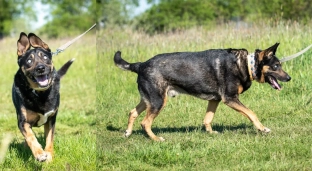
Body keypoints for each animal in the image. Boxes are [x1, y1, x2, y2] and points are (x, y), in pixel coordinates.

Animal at [12, 32, 75, 162]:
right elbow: (31, 137)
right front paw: (39, 154)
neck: (40, 93)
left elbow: (49, 139)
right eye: (29, 61)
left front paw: (49, 155)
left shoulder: (51, 119)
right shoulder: (23, 122)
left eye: (45, 57)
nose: (40, 68)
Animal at [114, 43, 292, 142]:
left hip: (149, 100)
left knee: (132, 112)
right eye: (276, 66)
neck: (247, 64)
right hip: (158, 102)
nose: (289, 78)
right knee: (145, 123)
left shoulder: (215, 100)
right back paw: (156, 139)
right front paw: (262, 129)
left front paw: (211, 132)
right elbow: (252, 113)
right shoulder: (230, 98)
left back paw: (128, 133)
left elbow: (208, 118)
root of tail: (141, 64)